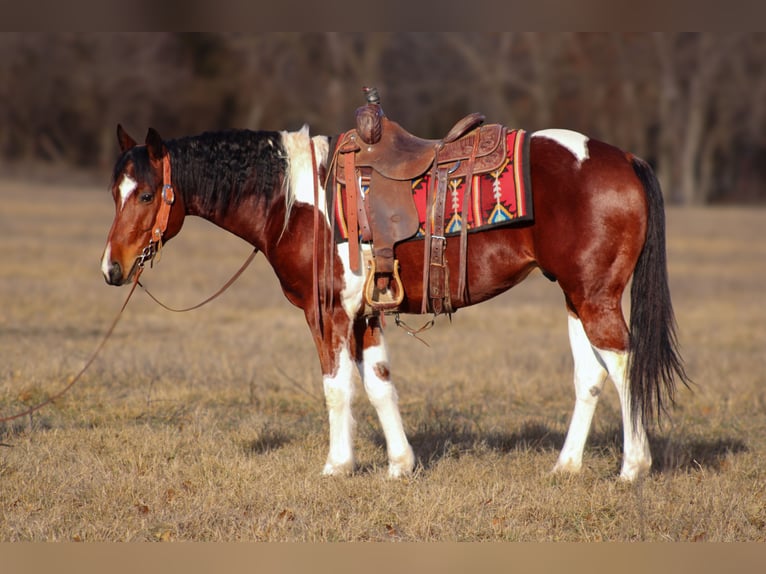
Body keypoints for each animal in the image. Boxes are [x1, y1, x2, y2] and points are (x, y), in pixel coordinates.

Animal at [100, 120, 688, 482]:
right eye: (114, 194)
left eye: (147, 194)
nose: (111, 269)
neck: (296, 201)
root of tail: (625, 157)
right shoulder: (366, 316)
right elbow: (380, 385)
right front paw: (400, 464)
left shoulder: (328, 312)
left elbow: (337, 388)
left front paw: (337, 465)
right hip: (573, 294)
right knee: (589, 377)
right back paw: (565, 468)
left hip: (595, 297)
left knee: (623, 364)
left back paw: (633, 468)